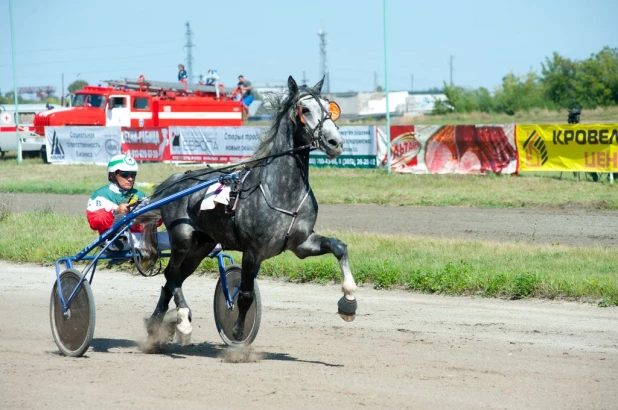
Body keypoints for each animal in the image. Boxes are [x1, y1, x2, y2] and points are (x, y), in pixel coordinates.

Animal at [141, 75, 356, 344]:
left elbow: (339, 247)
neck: (282, 190)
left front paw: (349, 300)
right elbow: (244, 295)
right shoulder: (253, 251)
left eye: (330, 108)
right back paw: (175, 320)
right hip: (182, 239)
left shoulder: (301, 243)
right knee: (172, 276)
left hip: (201, 245)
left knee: (175, 277)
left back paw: (165, 322)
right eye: (305, 109)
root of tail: (176, 178)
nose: (334, 142)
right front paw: (237, 331)